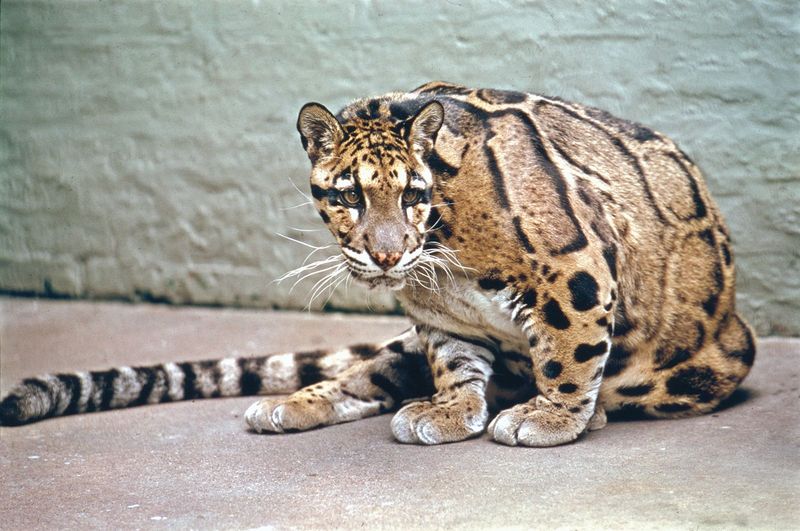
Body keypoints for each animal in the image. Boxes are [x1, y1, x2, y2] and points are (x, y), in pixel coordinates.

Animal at [0, 82, 752, 448]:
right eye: (348, 196)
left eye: (414, 195)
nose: (387, 252)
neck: (442, 255)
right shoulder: (440, 317)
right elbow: (455, 364)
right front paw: (454, 408)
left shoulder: (575, 267)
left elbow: (569, 353)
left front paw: (555, 415)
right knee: (364, 376)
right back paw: (290, 403)